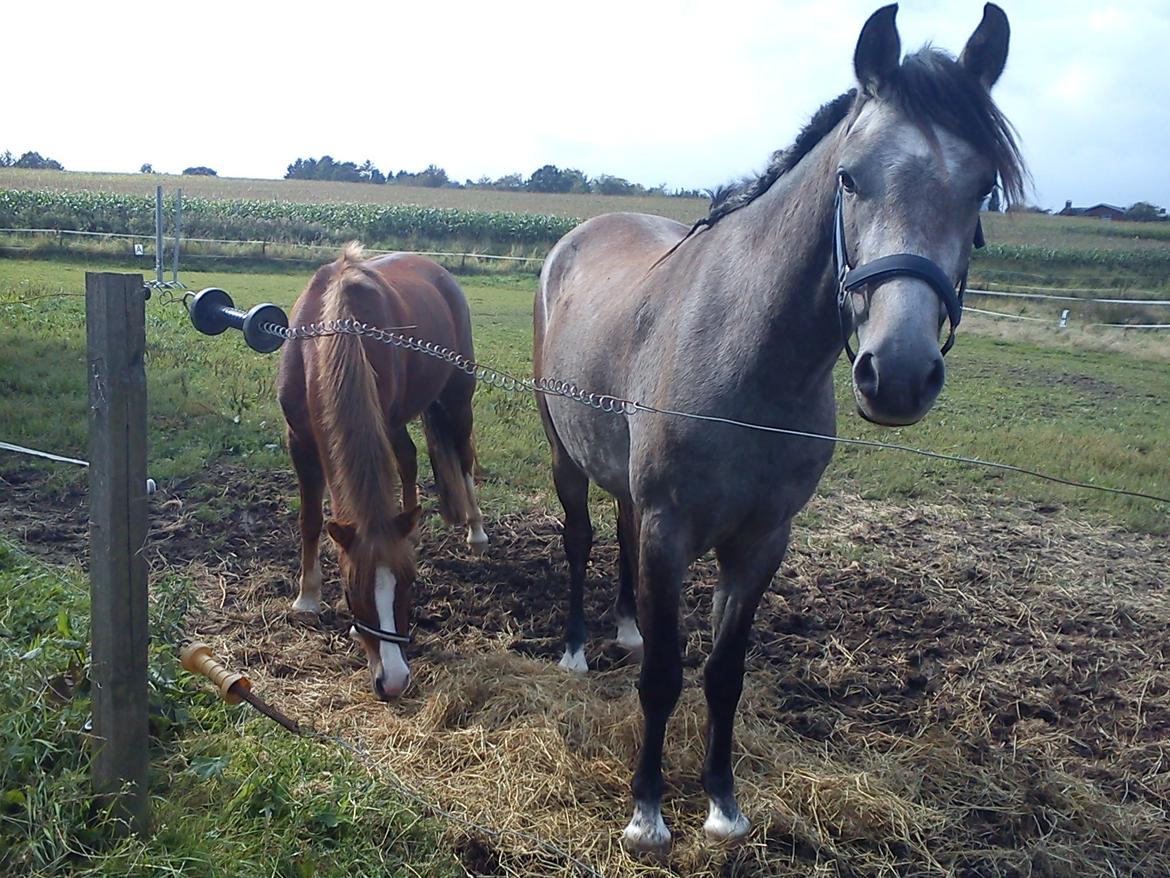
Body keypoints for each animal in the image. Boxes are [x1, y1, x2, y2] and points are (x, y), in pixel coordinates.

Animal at [277, 244, 488, 700]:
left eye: (410, 585)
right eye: (350, 590)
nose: (393, 680)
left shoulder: (382, 420)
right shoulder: (298, 440)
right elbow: (309, 519)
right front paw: (307, 598)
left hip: (458, 397)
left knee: (462, 458)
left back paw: (476, 531)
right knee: (409, 459)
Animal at [534, 3, 1024, 852]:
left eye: (982, 188)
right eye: (850, 176)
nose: (899, 372)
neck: (749, 358)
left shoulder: (762, 540)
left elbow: (724, 674)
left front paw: (723, 806)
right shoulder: (671, 528)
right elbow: (663, 676)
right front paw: (647, 812)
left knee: (620, 536)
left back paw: (625, 627)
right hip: (566, 455)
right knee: (580, 538)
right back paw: (574, 648)